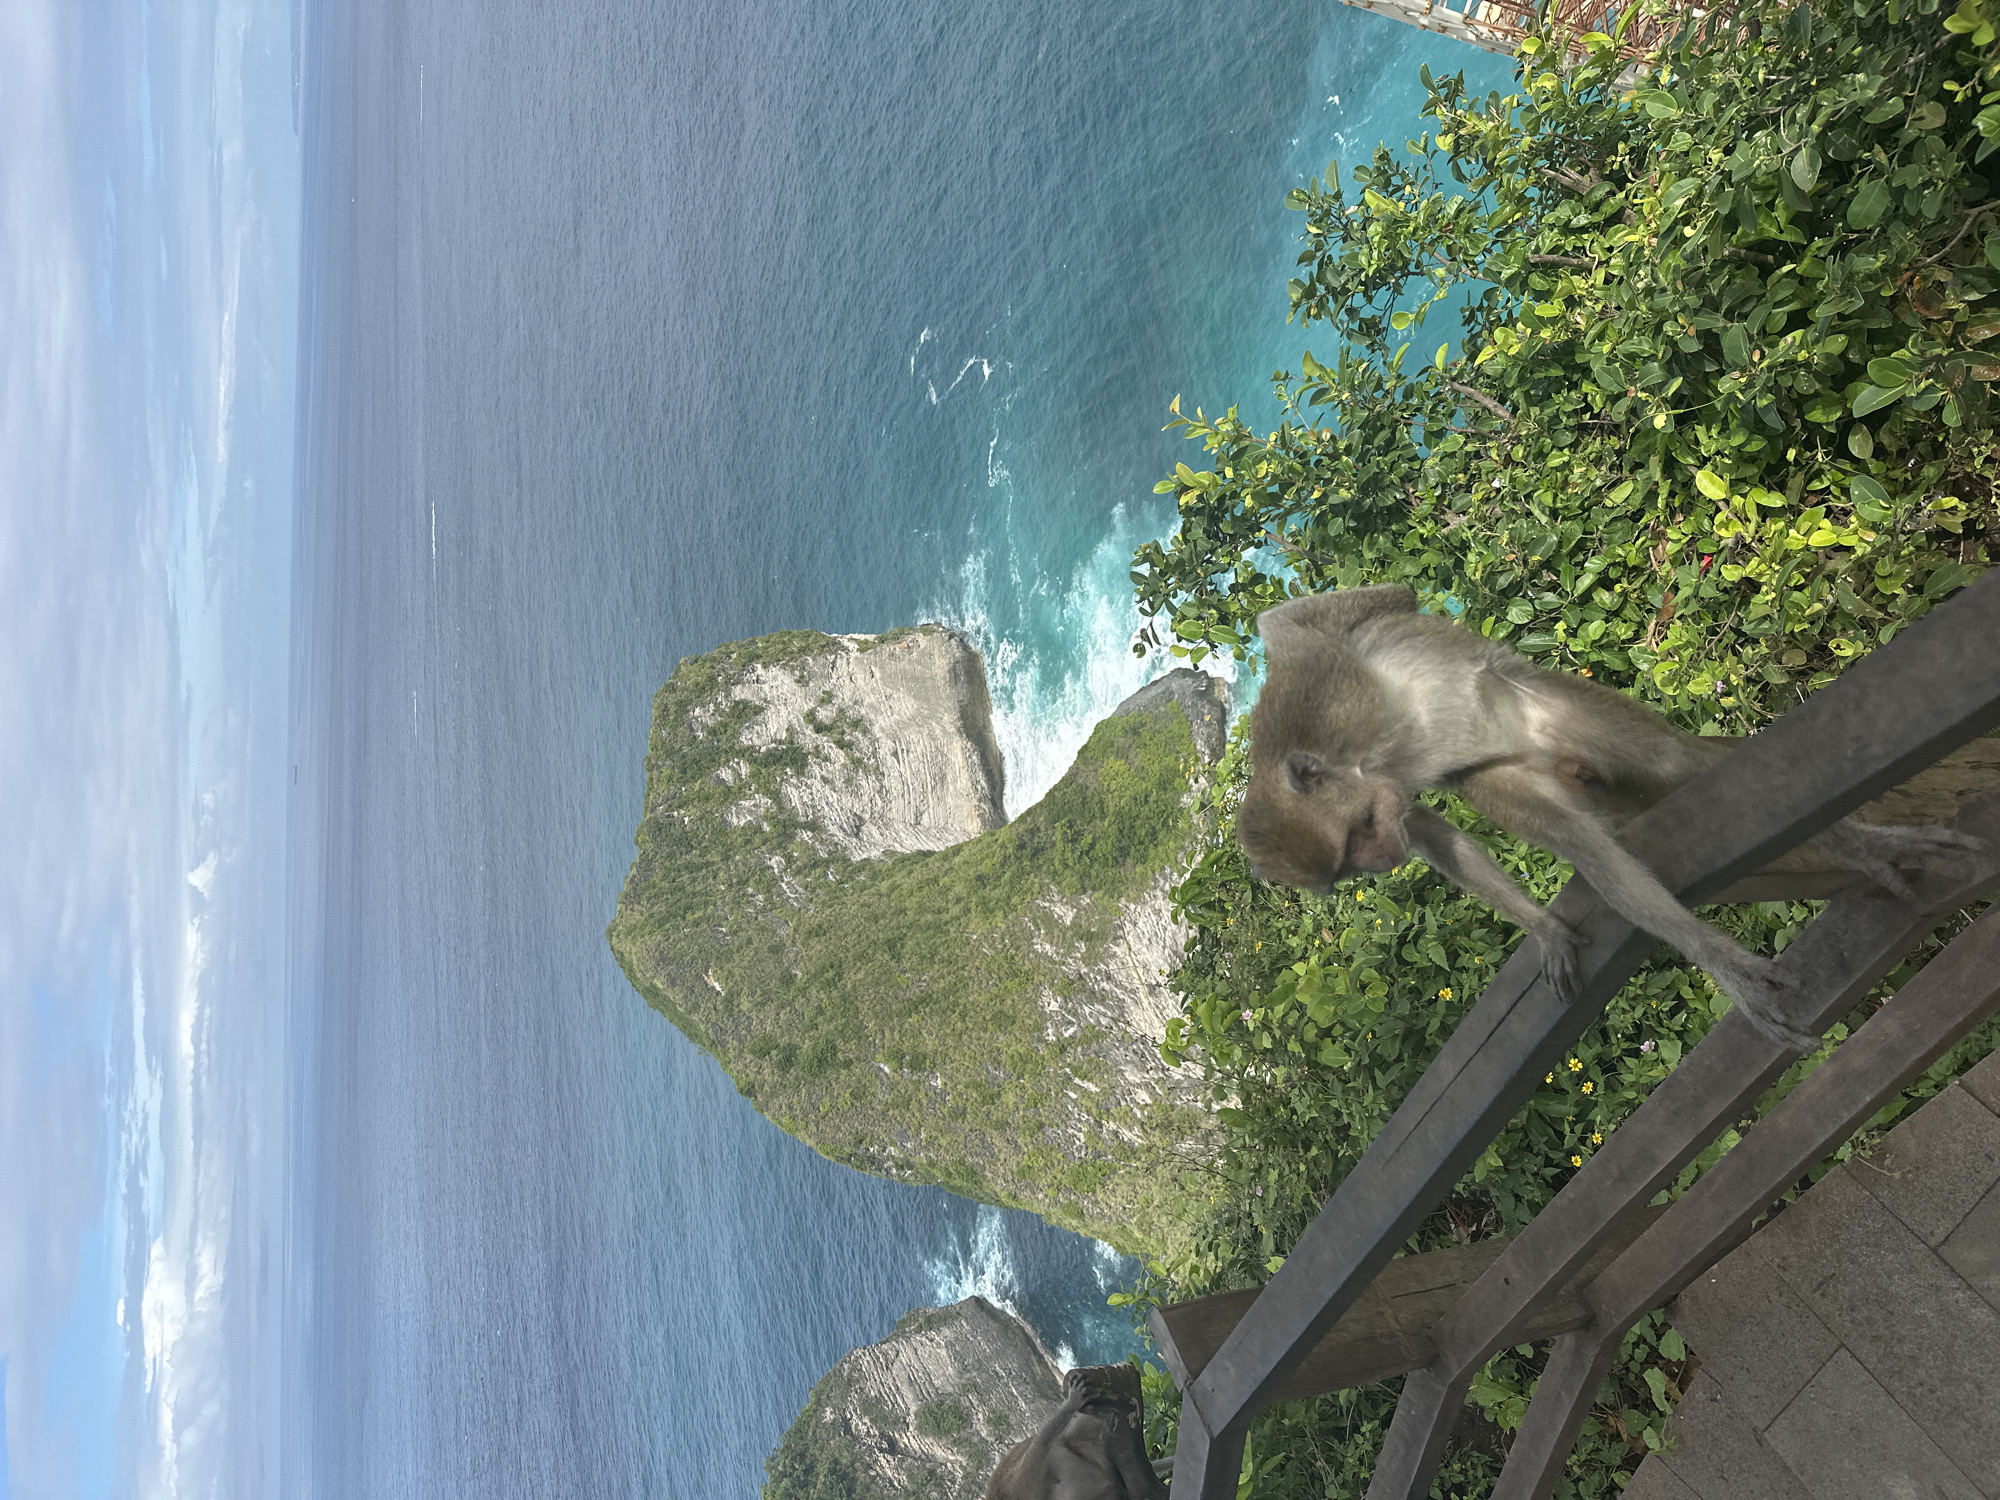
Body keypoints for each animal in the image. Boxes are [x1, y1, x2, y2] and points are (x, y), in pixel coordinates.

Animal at [984, 1364, 1169, 1500]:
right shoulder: (1016, 1485)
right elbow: (1040, 1444)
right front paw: (1072, 1403)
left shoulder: (1019, 1482)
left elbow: (1043, 1442)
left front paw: (1072, 1403)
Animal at [1235, 586, 1980, 1050]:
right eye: (1351, 865)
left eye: (1356, 840)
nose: (1380, 861)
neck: (1358, 756)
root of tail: (1551, 751)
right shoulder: (1377, 780)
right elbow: (1432, 834)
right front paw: (1544, 929)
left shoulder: (1320, 679)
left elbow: (1312, 615)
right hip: (1513, 767)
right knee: (1572, 837)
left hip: (1556, 712)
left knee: (1672, 758)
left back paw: (1859, 846)